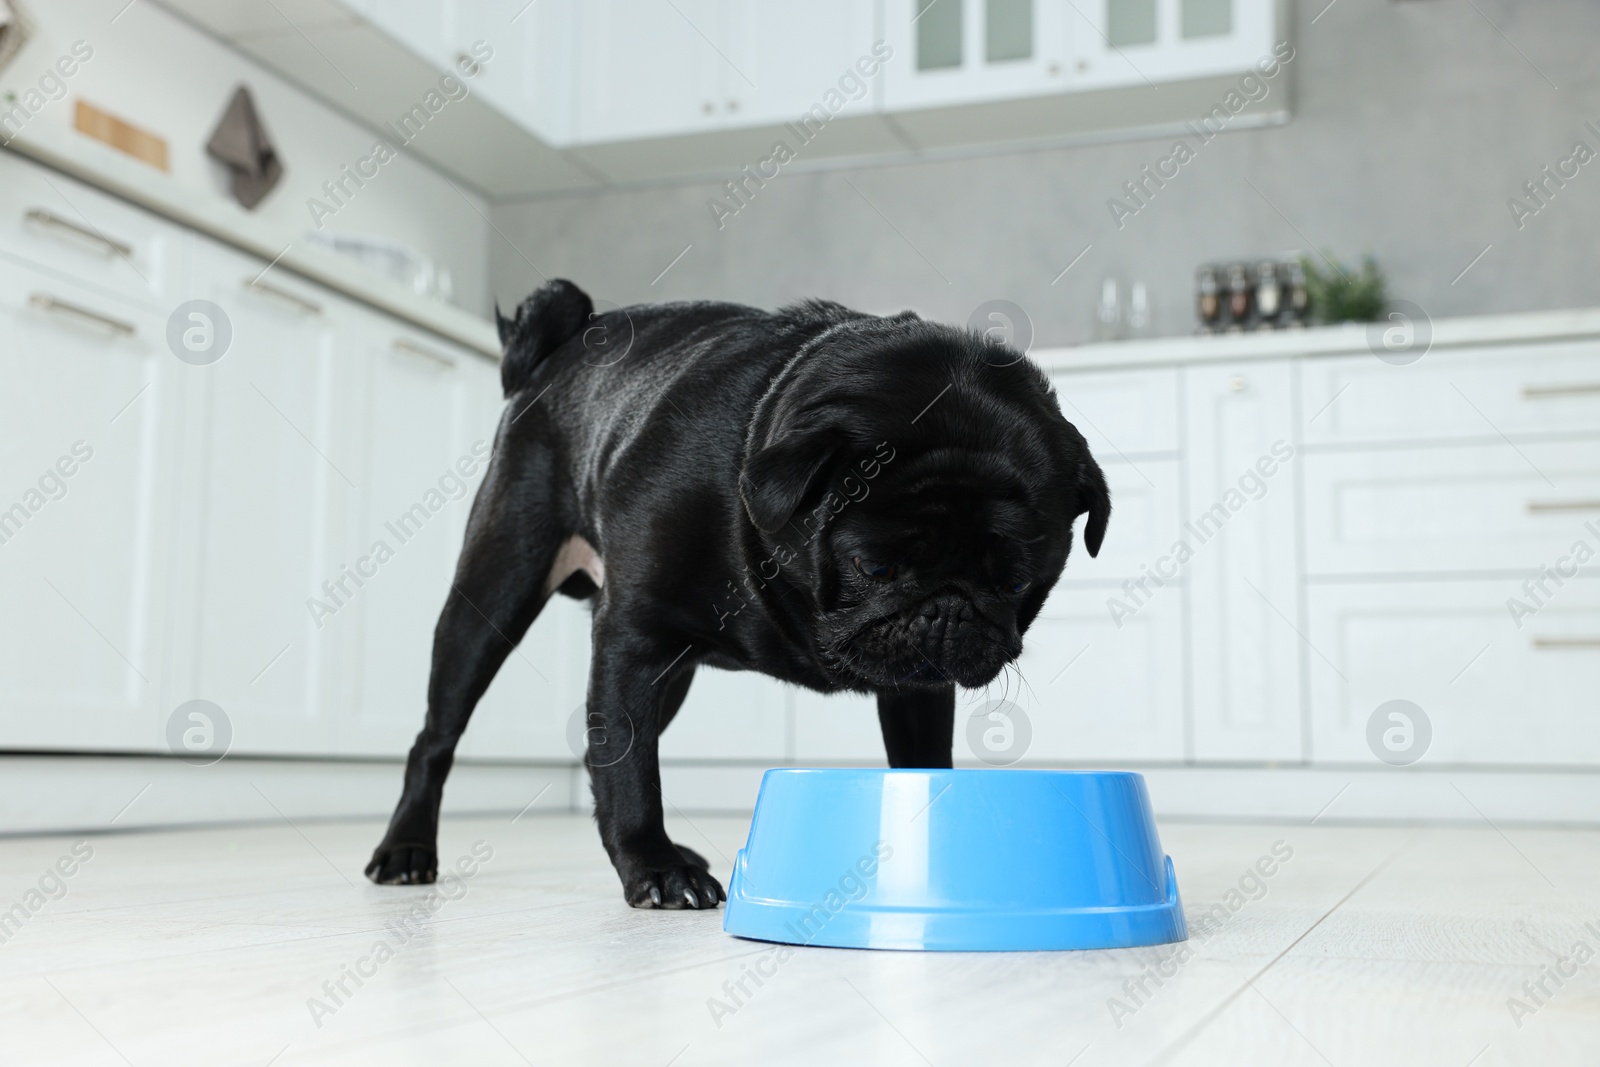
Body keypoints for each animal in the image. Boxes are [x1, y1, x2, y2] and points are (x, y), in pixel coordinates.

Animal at [366, 281, 1107, 908]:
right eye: (872, 565)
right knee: (438, 736)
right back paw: (406, 849)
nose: (949, 608)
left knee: (601, 744)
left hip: (672, 677)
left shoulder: (917, 689)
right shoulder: (632, 639)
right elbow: (632, 770)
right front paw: (655, 867)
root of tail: (559, 349)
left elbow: (919, 757)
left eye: (1017, 582)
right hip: (495, 589)